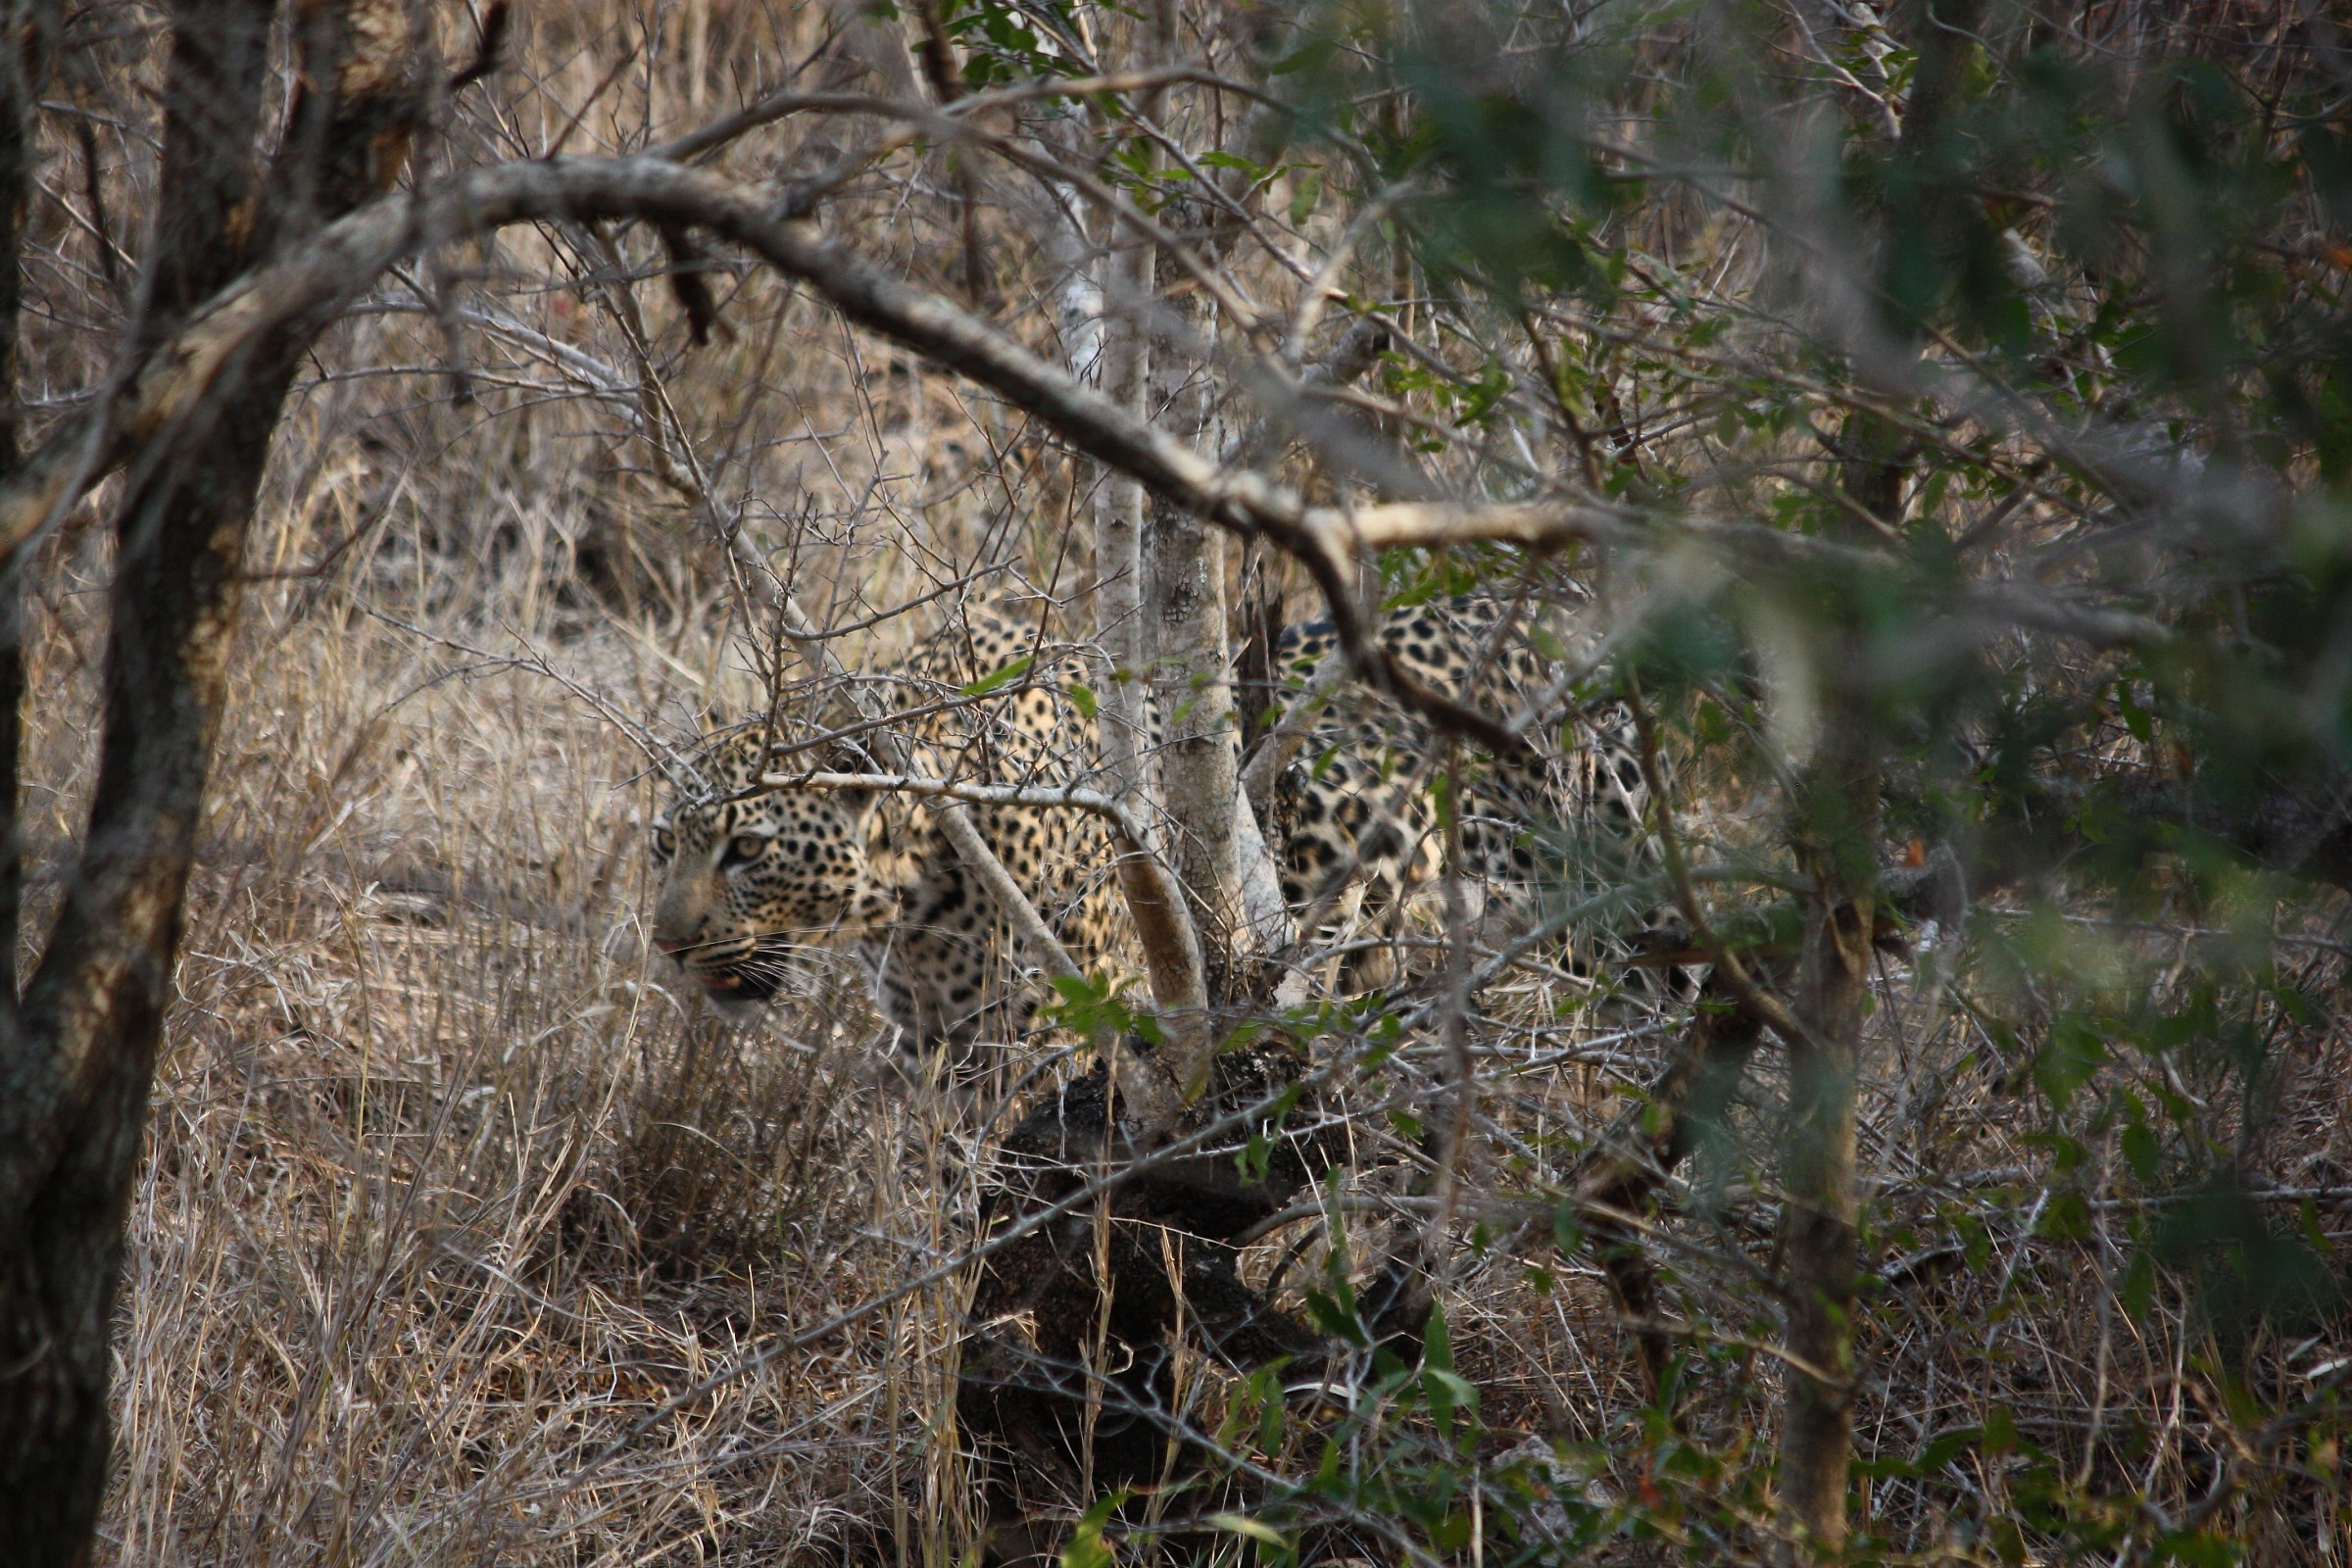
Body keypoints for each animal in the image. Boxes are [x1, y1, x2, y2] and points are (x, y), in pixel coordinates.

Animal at [647, 594, 1665, 1066]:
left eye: (748, 850)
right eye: (665, 844)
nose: (668, 945)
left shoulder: (1046, 1051)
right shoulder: (943, 1050)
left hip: (1605, 918)